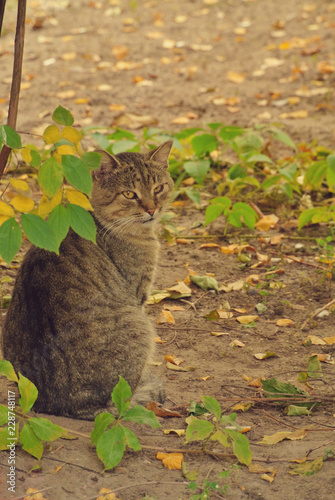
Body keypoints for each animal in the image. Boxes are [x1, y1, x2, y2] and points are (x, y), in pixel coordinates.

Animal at [2, 139, 175, 420]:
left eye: (158, 188)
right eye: (130, 194)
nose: (152, 209)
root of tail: (53, 405)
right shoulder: (138, 293)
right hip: (140, 326)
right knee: (120, 401)